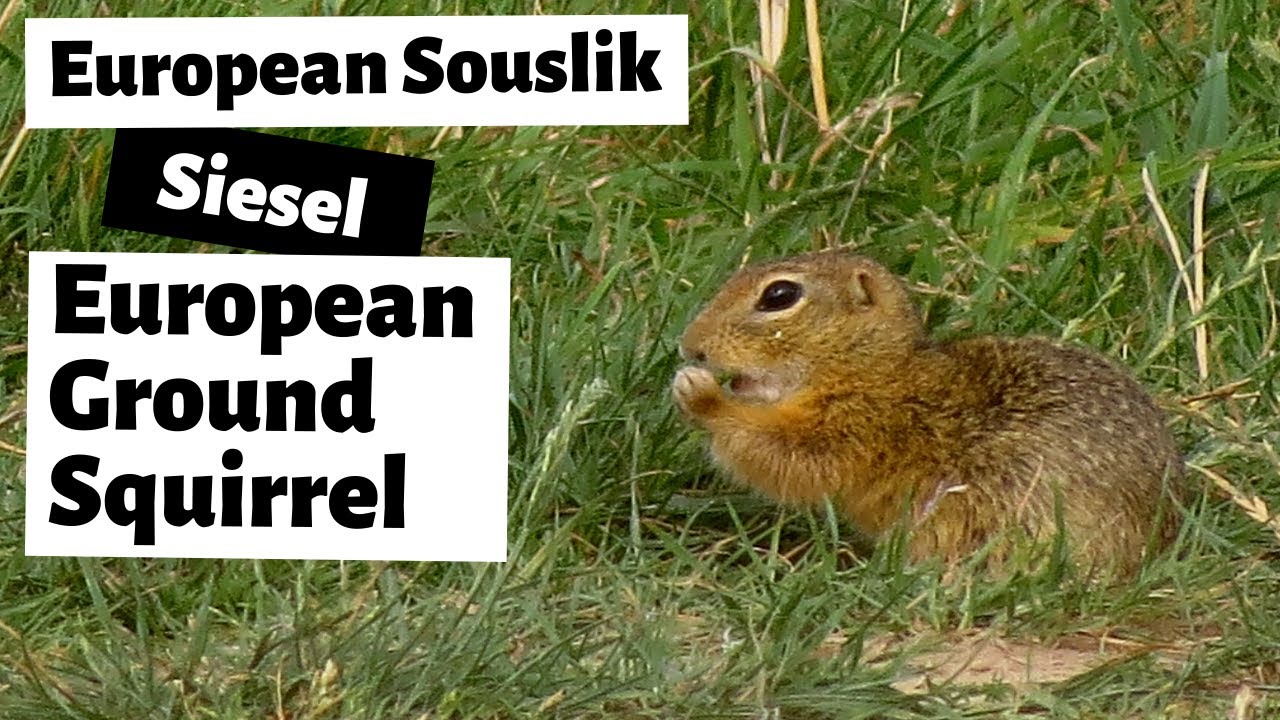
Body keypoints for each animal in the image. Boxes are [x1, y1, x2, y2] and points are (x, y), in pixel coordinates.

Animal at [672, 249, 1183, 575]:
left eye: (779, 296)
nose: (690, 346)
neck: (867, 366)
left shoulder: (855, 426)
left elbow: (788, 456)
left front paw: (700, 395)